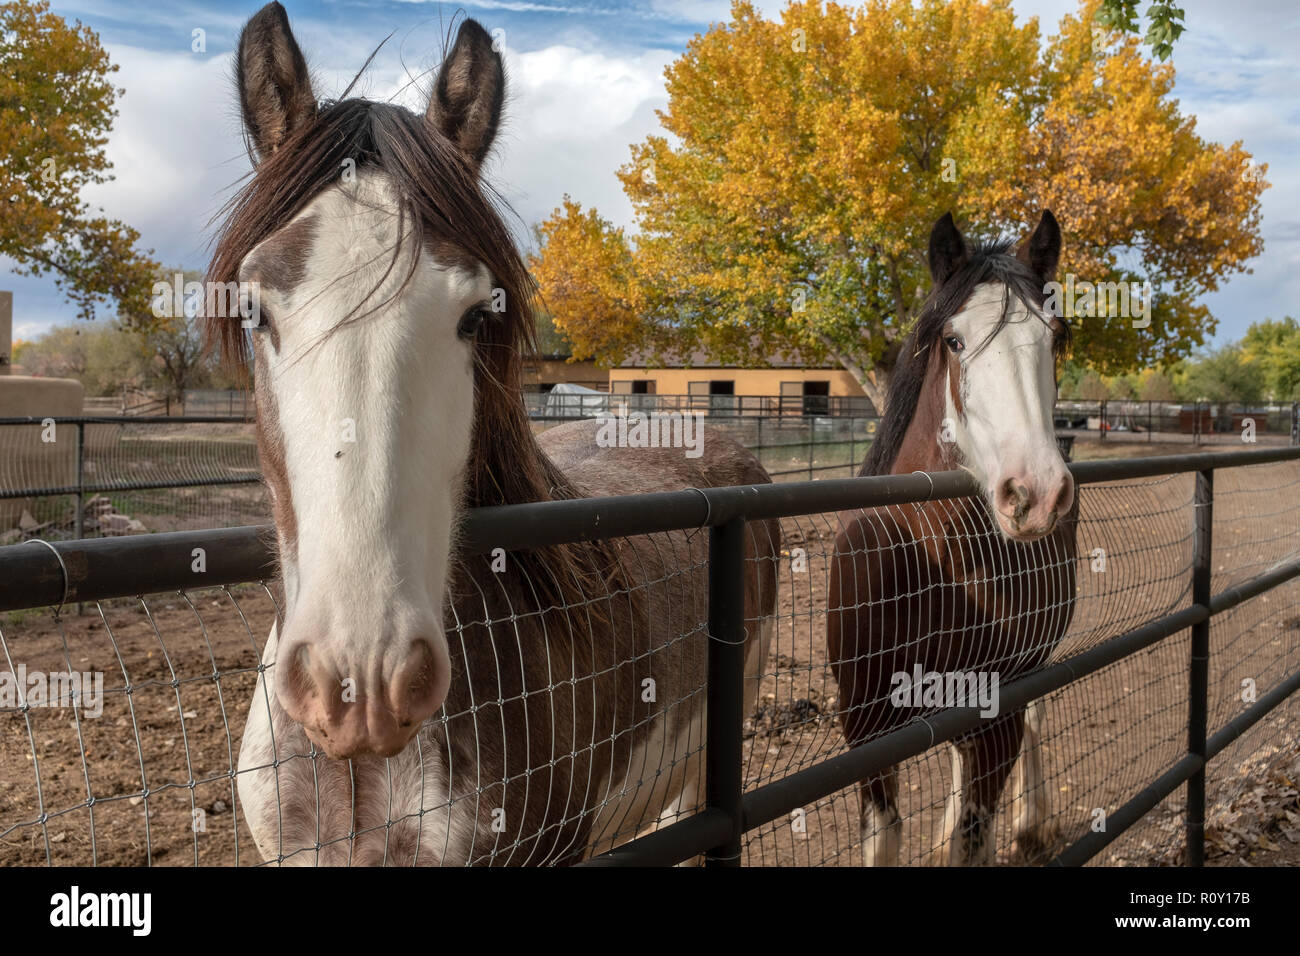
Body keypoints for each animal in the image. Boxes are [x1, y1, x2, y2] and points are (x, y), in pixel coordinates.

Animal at [827, 211, 1079, 866]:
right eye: (956, 341)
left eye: (1054, 337)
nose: (1036, 492)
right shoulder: (865, 725)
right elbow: (886, 836)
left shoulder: (998, 719)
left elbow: (975, 833)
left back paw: (1032, 823)